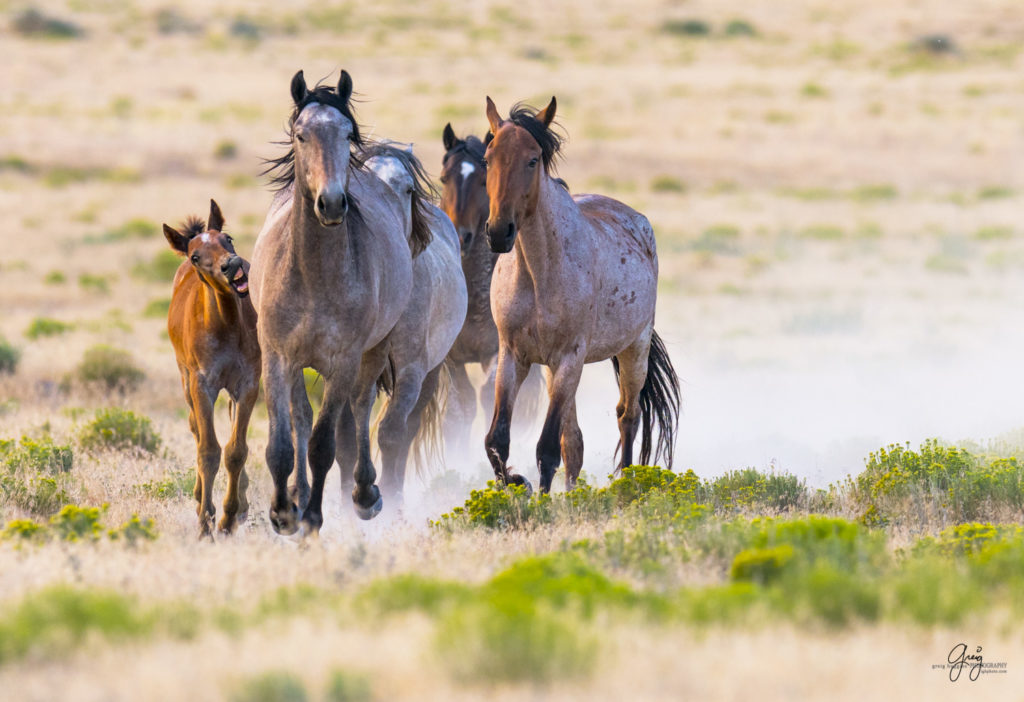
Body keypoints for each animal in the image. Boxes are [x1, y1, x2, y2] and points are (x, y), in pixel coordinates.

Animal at [162, 200, 260, 536]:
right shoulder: (201, 384)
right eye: (195, 256)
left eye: (227, 238)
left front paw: (229, 517)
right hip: (184, 377)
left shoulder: (247, 384)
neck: (226, 325)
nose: (232, 265)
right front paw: (206, 522)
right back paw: (197, 497)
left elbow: (235, 450)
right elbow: (208, 450)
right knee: (194, 427)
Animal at [249, 70, 421, 532]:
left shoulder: (344, 360)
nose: (330, 203)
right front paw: (284, 511)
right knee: (303, 418)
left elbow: (324, 443)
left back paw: (365, 495)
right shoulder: (277, 357)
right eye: (301, 134)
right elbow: (281, 442)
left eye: (347, 134)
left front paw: (311, 517)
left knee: (360, 410)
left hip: (372, 352)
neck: (312, 275)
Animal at [364, 143, 468, 505]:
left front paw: (389, 499)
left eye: (408, 188)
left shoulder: (411, 370)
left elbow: (393, 434)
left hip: (431, 373)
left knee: (407, 430)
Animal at [479, 97, 679, 495]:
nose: (498, 232)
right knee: (574, 441)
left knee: (627, 415)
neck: (538, 274)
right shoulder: (513, 356)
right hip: (556, 370)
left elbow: (546, 449)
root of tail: (637, 220)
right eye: (488, 158)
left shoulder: (570, 357)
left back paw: (625, 484)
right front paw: (516, 484)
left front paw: (538, 498)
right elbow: (498, 440)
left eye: (532, 160)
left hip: (633, 349)